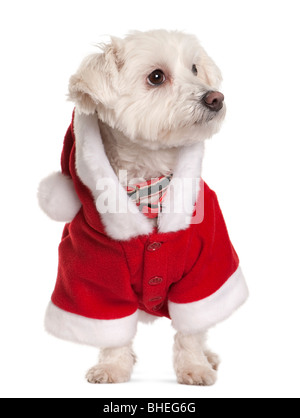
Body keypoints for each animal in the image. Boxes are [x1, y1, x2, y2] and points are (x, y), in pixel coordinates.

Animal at [38, 29, 247, 386]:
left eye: (194, 68)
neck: (148, 184)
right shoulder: (90, 270)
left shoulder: (208, 261)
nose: (215, 98)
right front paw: (113, 367)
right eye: (156, 77)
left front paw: (194, 367)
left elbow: (191, 329)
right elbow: (109, 326)